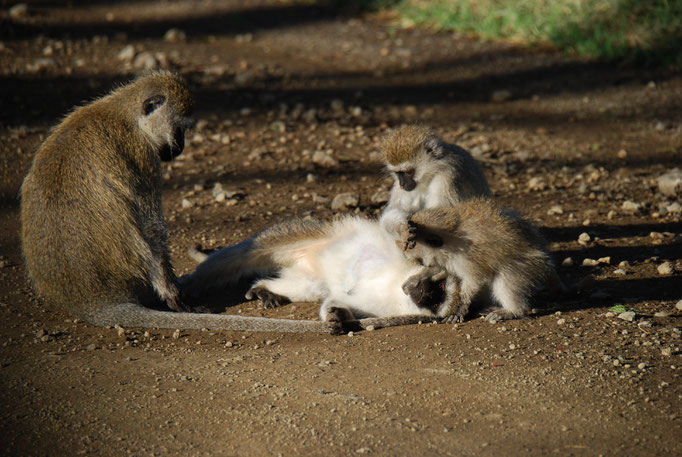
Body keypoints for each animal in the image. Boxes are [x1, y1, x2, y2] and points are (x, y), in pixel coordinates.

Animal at [19, 72, 350, 334]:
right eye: (180, 128)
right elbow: (151, 228)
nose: (180, 146)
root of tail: (88, 298)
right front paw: (174, 296)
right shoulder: (143, 156)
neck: (124, 113)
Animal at [398, 198, 564, 322]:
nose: (424, 264)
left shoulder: (466, 260)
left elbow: (474, 281)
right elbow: (442, 268)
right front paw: (414, 279)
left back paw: (513, 311)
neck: (451, 238)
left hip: (528, 266)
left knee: (505, 277)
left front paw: (460, 308)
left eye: (420, 260)